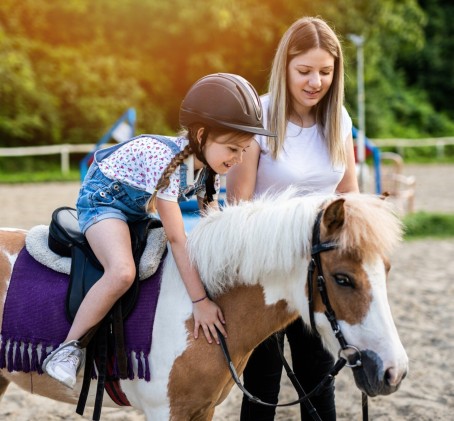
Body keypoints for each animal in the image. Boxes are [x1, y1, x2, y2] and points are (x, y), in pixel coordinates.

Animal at [0, 191, 408, 420]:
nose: (394, 372)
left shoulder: (203, 409)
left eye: (388, 269)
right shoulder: (167, 412)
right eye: (342, 278)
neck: (205, 306)